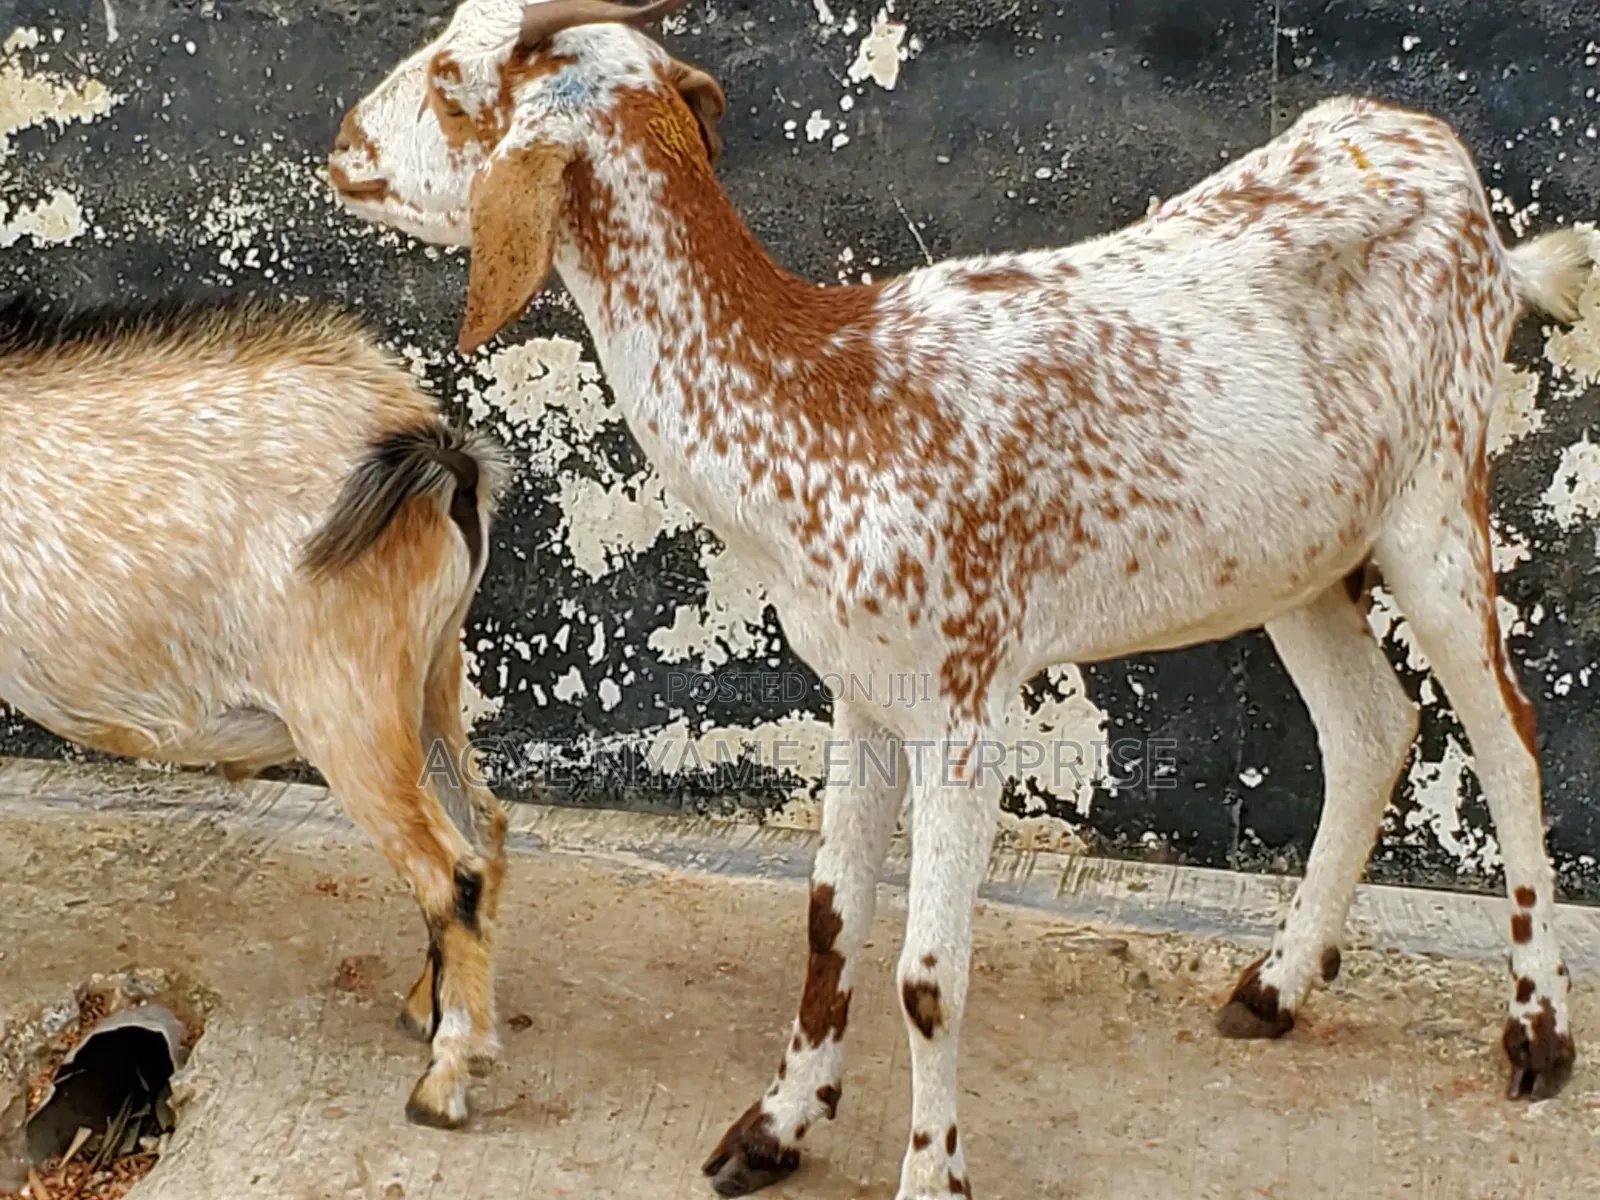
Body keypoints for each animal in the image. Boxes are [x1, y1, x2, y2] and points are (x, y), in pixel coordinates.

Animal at [0, 293, 512, 1130]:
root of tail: (438, 455)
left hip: (348, 700)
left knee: (448, 868)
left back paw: (444, 1078)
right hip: (432, 672)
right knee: (483, 830)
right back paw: (425, 1007)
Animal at [327, 0, 1593, 1193]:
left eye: (454, 85)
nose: (340, 145)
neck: (822, 400)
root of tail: (1447, 166)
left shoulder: (968, 700)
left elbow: (926, 978)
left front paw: (931, 1173)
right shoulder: (860, 690)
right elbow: (828, 925)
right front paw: (773, 1130)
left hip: (1436, 496)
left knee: (1510, 734)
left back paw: (1535, 1035)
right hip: (1300, 554)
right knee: (1372, 726)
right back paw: (1276, 988)